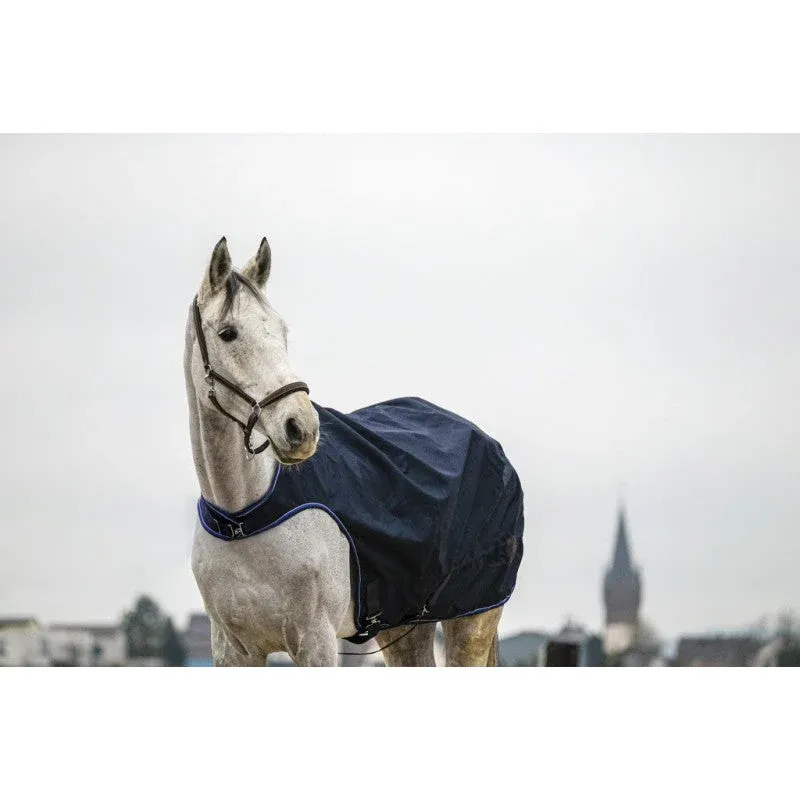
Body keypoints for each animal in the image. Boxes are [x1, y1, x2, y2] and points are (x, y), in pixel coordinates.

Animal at [185, 236, 523, 666]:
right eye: (228, 333)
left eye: (281, 329)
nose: (301, 428)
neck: (242, 517)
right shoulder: (232, 650)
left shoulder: (316, 642)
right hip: (405, 627)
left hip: (472, 622)